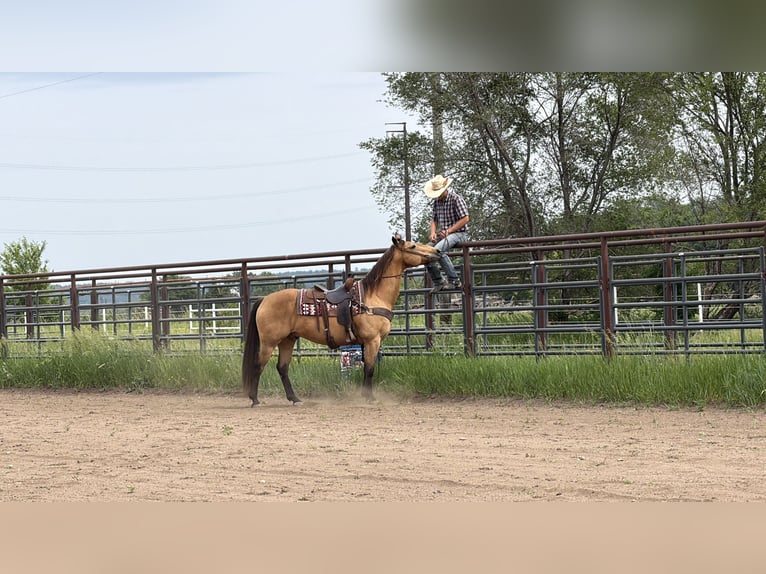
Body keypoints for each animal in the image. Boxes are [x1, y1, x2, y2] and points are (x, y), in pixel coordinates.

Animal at [241, 233, 439, 406]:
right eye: (412, 246)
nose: (436, 251)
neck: (373, 295)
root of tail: (265, 299)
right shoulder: (372, 340)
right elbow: (369, 369)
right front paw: (369, 397)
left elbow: (367, 368)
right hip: (269, 342)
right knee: (258, 366)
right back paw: (255, 400)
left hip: (287, 340)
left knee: (282, 368)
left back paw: (295, 399)